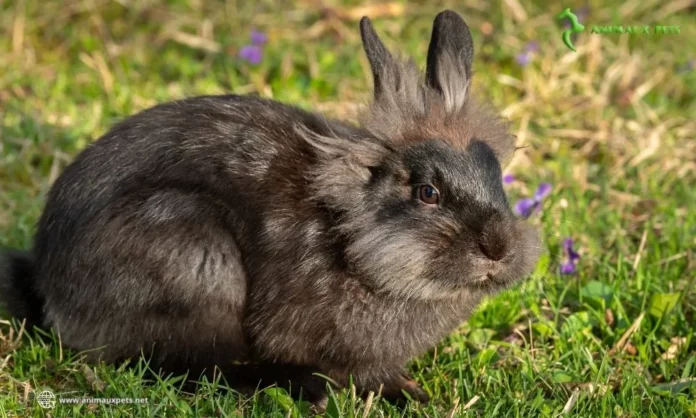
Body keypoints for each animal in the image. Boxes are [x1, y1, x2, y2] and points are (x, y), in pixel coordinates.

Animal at [0, 9, 540, 406]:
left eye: (495, 174)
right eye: (428, 192)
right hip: (192, 254)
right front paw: (406, 394)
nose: (499, 248)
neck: (351, 237)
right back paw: (306, 388)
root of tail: (50, 284)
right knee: (196, 364)